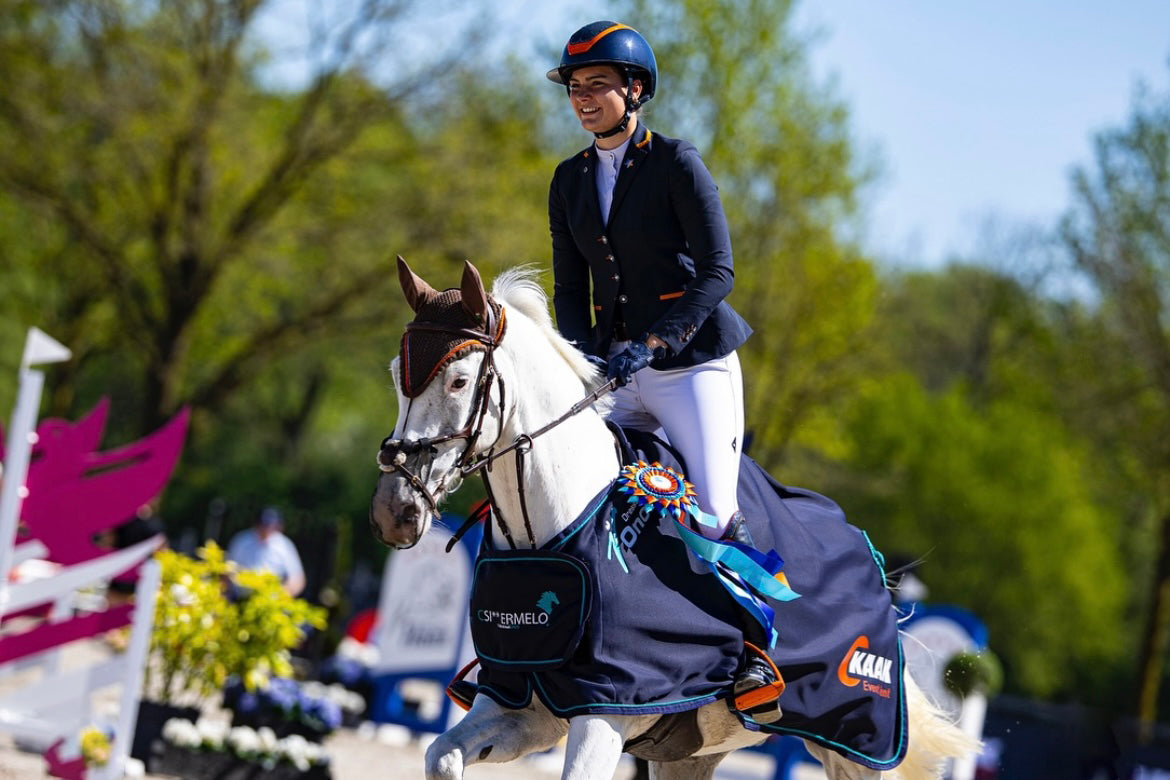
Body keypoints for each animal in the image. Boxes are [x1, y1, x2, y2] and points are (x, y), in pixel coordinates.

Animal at [369, 257, 977, 780]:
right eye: (397, 375)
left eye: (458, 381)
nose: (393, 512)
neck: (546, 535)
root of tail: (870, 555)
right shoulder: (523, 711)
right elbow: (442, 755)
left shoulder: (608, 709)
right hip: (695, 755)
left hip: (860, 744)